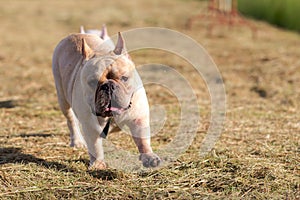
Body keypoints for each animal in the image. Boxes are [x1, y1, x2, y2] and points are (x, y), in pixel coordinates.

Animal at [52, 31, 163, 169]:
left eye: (124, 78)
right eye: (92, 82)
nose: (108, 86)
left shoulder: (139, 118)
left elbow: (142, 139)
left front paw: (149, 156)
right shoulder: (90, 125)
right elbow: (95, 146)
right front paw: (98, 164)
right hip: (63, 98)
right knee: (71, 119)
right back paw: (77, 141)